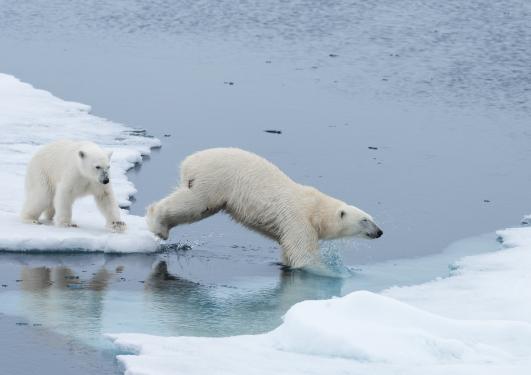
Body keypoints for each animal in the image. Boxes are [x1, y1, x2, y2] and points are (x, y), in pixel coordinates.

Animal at [148, 148, 384, 268]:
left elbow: (289, 252)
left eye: (372, 217)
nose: (380, 232)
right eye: (364, 220)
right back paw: (158, 224)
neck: (315, 209)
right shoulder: (298, 220)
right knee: (194, 205)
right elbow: (303, 254)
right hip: (214, 181)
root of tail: (189, 161)